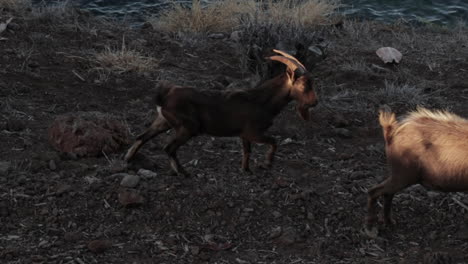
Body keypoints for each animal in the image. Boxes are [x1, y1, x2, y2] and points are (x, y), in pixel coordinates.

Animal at [123, 50, 318, 176]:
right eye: (304, 84)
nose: (314, 102)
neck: (263, 100)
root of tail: (164, 96)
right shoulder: (253, 132)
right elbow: (274, 141)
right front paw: (267, 164)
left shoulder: (244, 134)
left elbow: (247, 151)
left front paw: (246, 170)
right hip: (188, 127)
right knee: (168, 147)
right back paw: (183, 172)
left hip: (163, 120)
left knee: (142, 136)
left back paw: (128, 159)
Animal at [366, 106, 468, 234]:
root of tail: (391, 134)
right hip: (403, 175)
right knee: (374, 191)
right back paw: (370, 227)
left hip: (399, 176)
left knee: (386, 193)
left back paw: (389, 222)